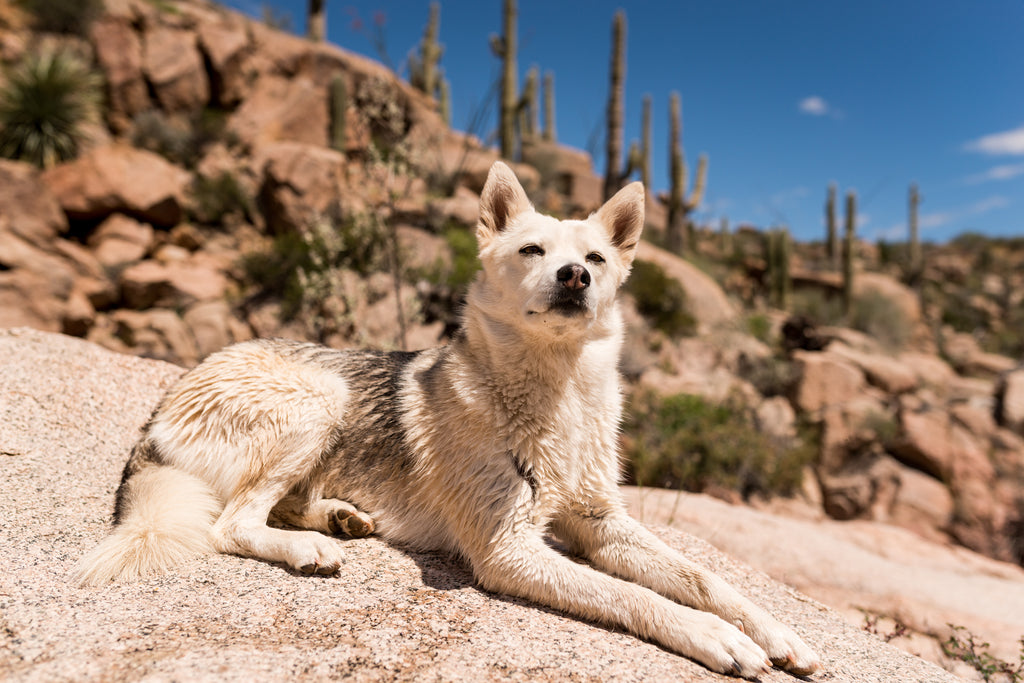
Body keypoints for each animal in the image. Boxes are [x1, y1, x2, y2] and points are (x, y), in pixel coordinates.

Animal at [75, 160, 819, 679]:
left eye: (597, 259)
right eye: (531, 251)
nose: (575, 277)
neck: (559, 397)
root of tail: (163, 402)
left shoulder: (602, 521)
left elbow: (704, 579)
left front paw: (778, 633)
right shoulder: (508, 550)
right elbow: (641, 598)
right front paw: (721, 639)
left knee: (275, 505)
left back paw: (338, 519)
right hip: (320, 399)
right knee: (231, 522)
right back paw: (310, 546)